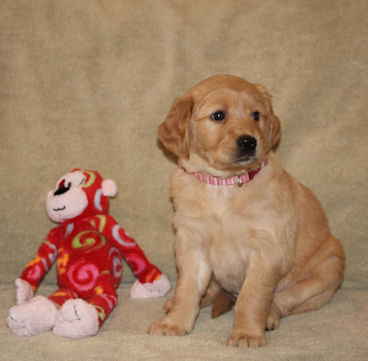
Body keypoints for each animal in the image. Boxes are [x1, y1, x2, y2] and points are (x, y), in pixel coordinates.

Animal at [147, 75, 344, 346]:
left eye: (256, 115)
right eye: (218, 115)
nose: (249, 141)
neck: (224, 184)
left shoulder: (267, 249)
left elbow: (252, 298)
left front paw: (247, 334)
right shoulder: (191, 243)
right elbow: (187, 289)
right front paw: (174, 323)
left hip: (328, 270)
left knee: (283, 300)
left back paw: (269, 316)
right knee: (209, 289)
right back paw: (178, 302)